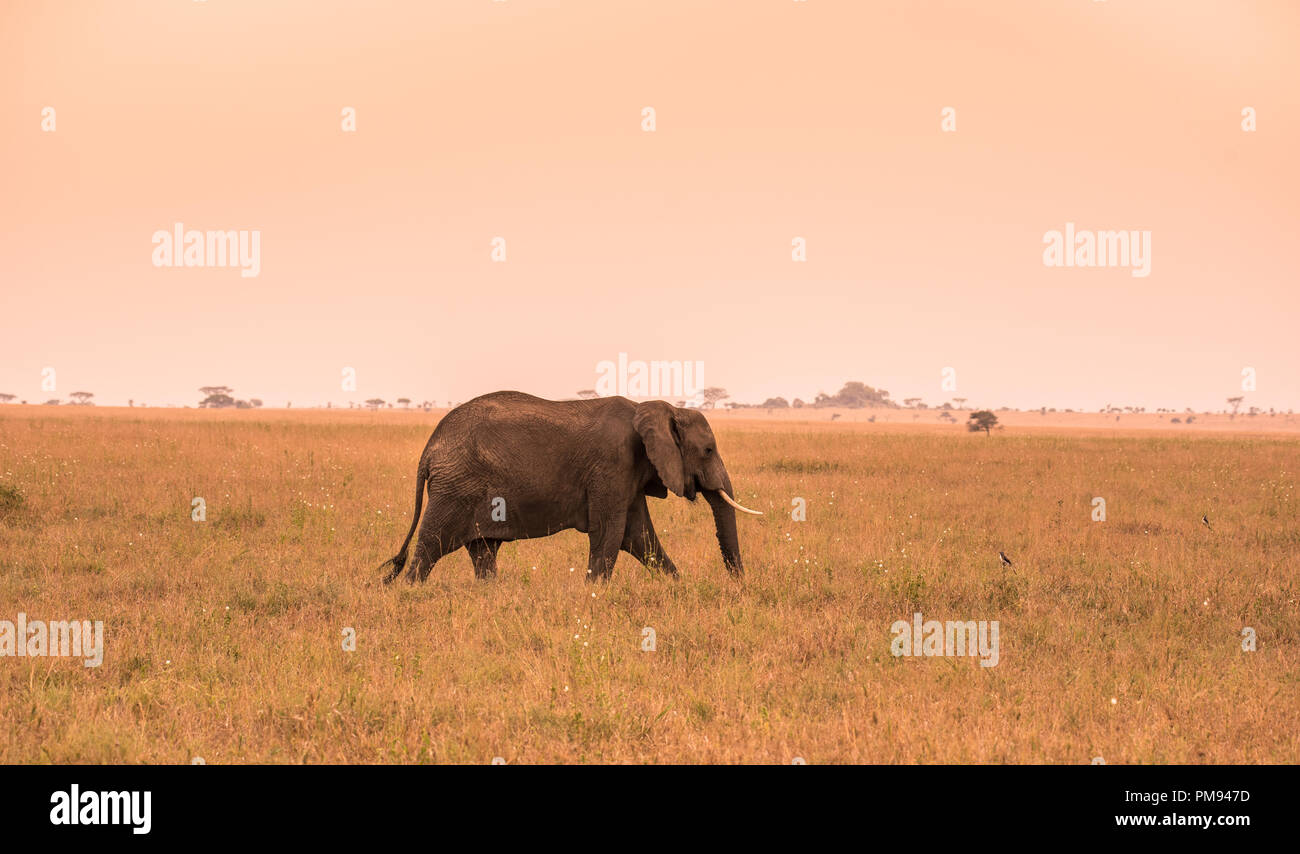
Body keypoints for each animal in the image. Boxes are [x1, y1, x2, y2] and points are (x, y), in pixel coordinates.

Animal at [377, 391, 762, 583]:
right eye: (708, 450)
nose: (738, 585)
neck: (656, 407)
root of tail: (429, 450)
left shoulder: (629, 473)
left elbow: (639, 537)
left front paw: (677, 588)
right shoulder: (613, 464)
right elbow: (610, 533)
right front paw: (595, 597)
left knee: (482, 551)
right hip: (455, 488)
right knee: (431, 546)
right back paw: (410, 593)